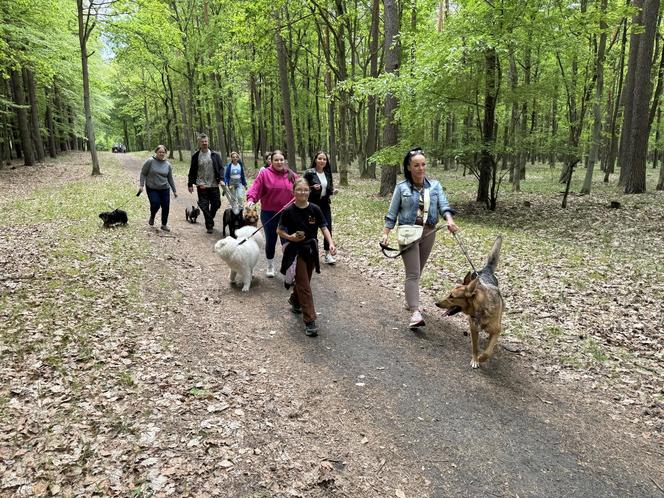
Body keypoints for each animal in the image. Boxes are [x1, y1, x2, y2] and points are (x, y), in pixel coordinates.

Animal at [436, 235, 504, 368]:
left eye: (452, 296)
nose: (436, 303)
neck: (481, 308)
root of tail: (486, 270)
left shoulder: (497, 330)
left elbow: (488, 352)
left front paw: (481, 358)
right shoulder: (473, 329)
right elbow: (475, 347)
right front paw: (475, 359)